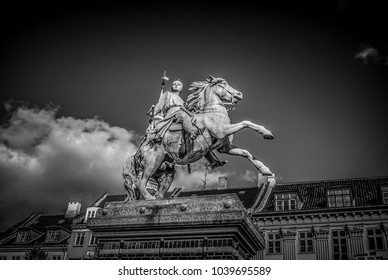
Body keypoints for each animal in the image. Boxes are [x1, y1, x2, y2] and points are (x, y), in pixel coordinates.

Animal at [123, 75, 274, 200]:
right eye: (223, 83)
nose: (239, 94)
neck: (212, 112)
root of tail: (137, 153)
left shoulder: (225, 147)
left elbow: (246, 153)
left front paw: (265, 170)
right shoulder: (222, 130)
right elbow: (246, 122)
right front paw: (266, 132)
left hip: (166, 171)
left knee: (155, 190)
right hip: (153, 162)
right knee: (140, 182)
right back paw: (150, 199)